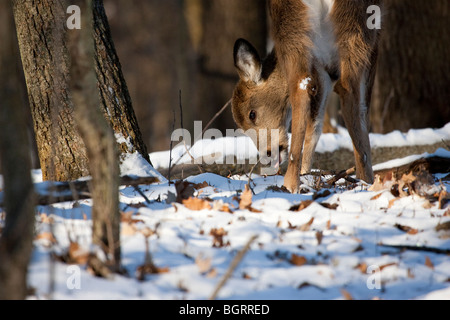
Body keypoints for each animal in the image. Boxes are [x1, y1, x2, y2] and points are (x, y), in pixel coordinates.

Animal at [230, 0, 382, 192]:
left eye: (252, 114)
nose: (268, 154)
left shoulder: (322, 70)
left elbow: (315, 126)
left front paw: (305, 173)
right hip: (357, 21)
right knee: (351, 96)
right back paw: (365, 180)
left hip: (292, 30)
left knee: (301, 92)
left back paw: (291, 183)